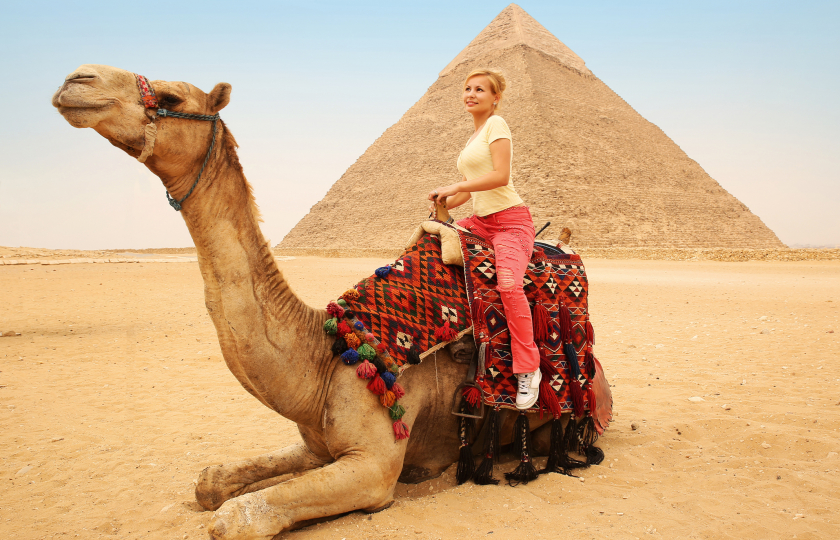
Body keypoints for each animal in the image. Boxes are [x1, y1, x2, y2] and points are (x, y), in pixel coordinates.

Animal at [50, 66, 596, 540]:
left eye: (171, 98)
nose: (77, 80)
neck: (329, 355)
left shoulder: (373, 466)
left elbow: (234, 517)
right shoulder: (317, 442)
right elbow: (210, 482)